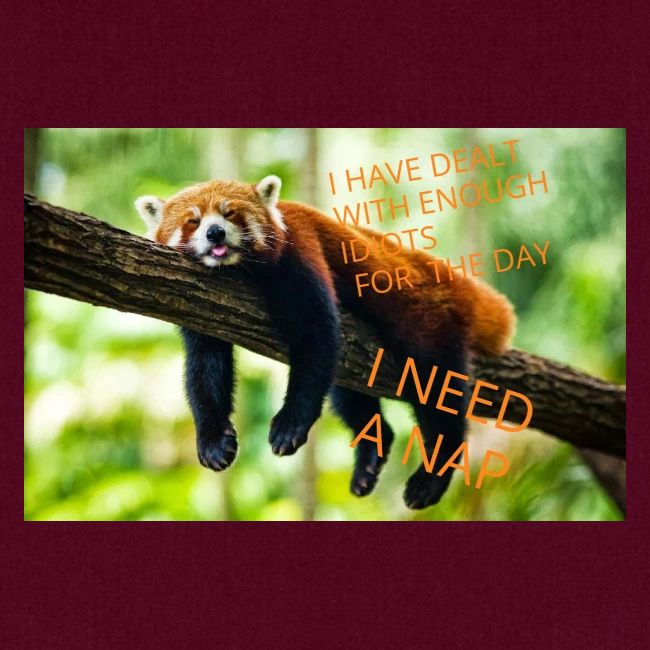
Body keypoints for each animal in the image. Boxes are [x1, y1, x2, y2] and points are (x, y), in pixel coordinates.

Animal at [136, 175, 515, 509]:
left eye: (230, 214)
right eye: (193, 221)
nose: (215, 232)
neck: (239, 270)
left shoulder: (300, 252)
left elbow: (316, 337)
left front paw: (290, 425)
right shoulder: (200, 304)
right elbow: (205, 366)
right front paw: (213, 440)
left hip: (427, 323)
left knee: (436, 392)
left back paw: (431, 477)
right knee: (348, 395)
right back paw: (370, 458)